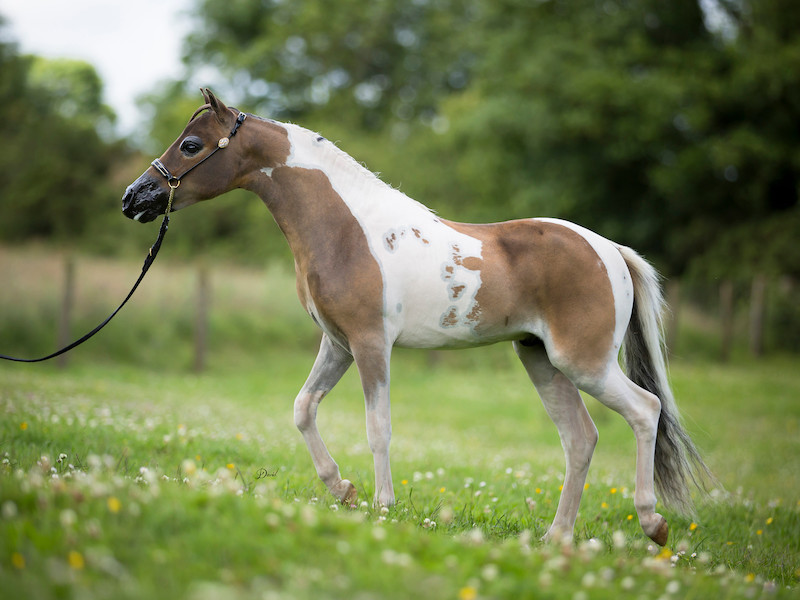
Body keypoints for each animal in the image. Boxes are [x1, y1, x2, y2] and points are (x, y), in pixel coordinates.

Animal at [122, 89, 710, 546]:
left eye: (191, 145)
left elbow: (378, 427)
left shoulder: (370, 344)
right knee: (581, 438)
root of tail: (610, 250)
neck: (347, 229)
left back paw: (653, 524)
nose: (134, 198)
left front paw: (382, 507)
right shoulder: (337, 344)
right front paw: (343, 490)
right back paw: (556, 538)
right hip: (542, 360)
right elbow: (303, 408)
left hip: (584, 363)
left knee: (646, 410)